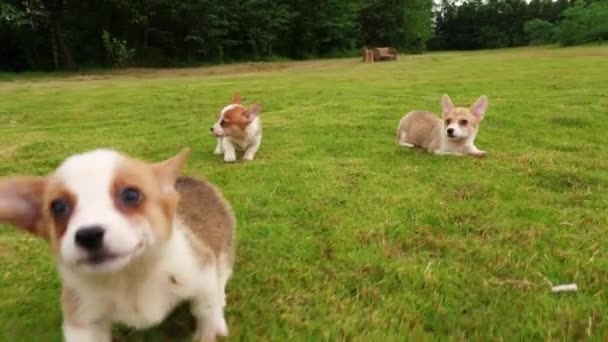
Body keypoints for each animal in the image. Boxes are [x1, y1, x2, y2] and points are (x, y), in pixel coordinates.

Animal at [0, 149, 235, 342]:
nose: (89, 235)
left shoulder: (200, 272)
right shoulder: (82, 319)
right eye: (58, 207)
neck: (128, 275)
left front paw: (209, 332)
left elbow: (206, 309)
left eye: (131, 194)